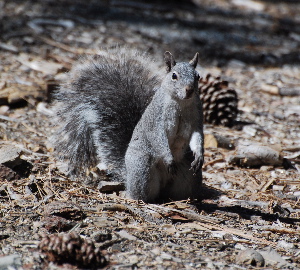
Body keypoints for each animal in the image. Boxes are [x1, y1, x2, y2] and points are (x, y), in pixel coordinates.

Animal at [51, 48, 204, 202]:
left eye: (198, 77)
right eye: (174, 76)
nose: (189, 90)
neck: (181, 103)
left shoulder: (197, 119)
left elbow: (197, 136)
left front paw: (199, 156)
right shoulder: (156, 121)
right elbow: (158, 138)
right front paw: (169, 159)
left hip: (189, 174)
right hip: (142, 167)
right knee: (139, 193)